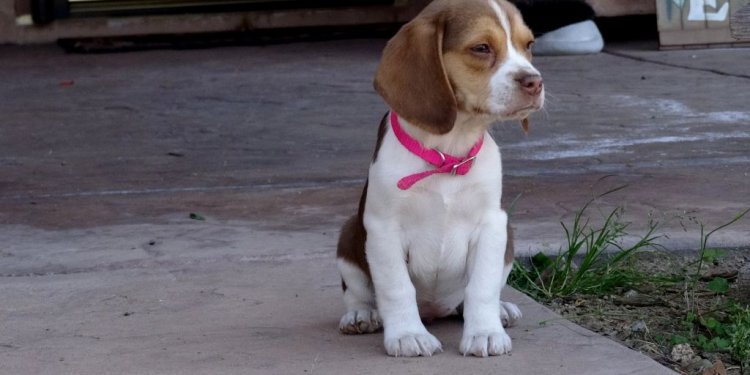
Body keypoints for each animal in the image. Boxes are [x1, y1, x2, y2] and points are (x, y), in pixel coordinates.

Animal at [338, 0, 544, 358]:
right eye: (481, 48)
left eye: (528, 44)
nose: (535, 82)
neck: (449, 154)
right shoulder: (383, 228)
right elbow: (396, 287)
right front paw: (407, 335)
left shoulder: (492, 224)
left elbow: (482, 287)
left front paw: (485, 332)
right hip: (349, 234)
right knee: (358, 291)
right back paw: (361, 314)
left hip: (509, 236)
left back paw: (501, 310)